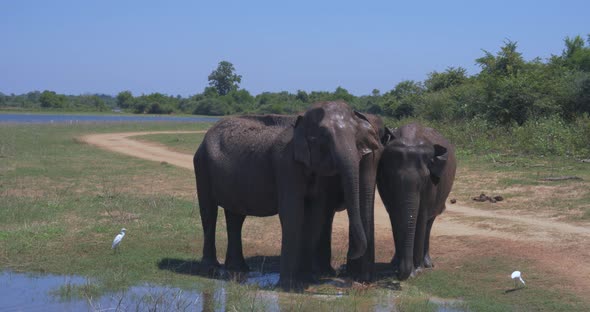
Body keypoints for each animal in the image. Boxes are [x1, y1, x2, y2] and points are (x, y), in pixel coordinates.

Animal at [192, 101, 382, 288]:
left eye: (356, 136)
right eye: (323, 136)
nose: (349, 256)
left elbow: (315, 214)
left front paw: (307, 280)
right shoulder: (286, 163)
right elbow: (293, 212)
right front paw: (288, 285)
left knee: (235, 217)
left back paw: (238, 268)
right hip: (202, 164)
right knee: (208, 212)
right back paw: (210, 270)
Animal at [380, 122, 458, 280]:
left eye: (425, 178)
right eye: (392, 177)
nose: (399, 274)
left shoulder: (431, 184)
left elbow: (421, 216)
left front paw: (415, 271)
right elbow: (395, 215)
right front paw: (396, 267)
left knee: (429, 223)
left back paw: (427, 264)